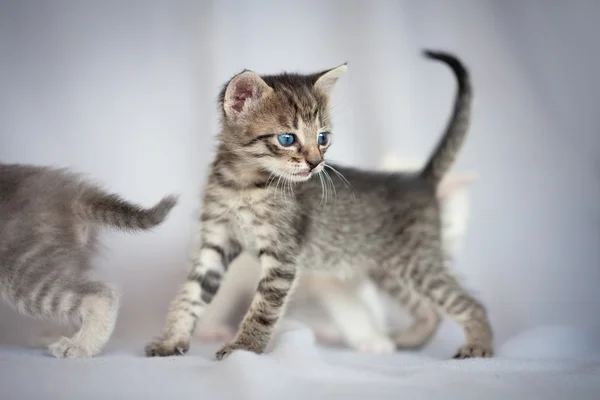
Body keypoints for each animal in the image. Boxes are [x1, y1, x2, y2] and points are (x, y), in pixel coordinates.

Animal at [193, 153, 478, 354]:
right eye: (445, 227)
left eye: (453, 229)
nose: (447, 254)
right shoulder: (327, 274)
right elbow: (350, 306)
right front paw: (372, 338)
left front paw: (381, 330)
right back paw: (210, 327)